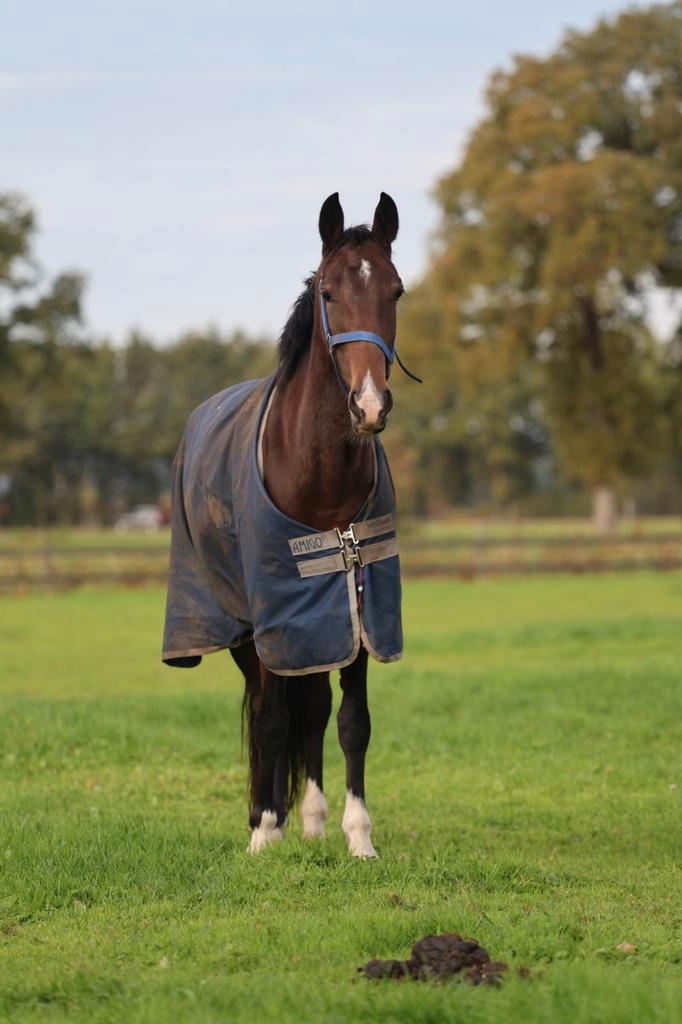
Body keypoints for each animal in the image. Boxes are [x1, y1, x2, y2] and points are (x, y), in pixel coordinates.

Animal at [162, 192, 419, 857]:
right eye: (329, 291)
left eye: (396, 290)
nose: (369, 405)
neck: (317, 473)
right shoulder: (276, 614)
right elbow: (273, 719)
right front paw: (263, 833)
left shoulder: (357, 606)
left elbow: (352, 722)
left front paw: (359, 838)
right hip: (243, 627)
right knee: (265, 709)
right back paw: (268, 816)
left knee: (313, 708)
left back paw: (309, 818)